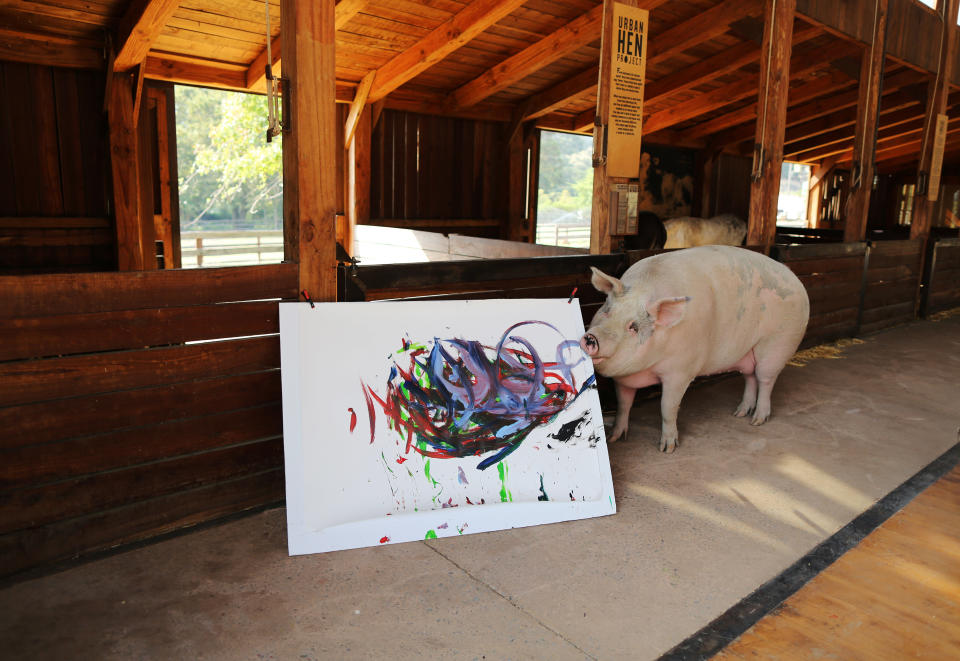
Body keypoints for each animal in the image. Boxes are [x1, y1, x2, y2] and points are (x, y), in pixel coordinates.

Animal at [576, 245, 808, 452]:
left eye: (633, 326)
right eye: (607, 310)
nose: (592, 337)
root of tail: (796, 279)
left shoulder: (682, 370)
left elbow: (667, 408)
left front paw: (667, 448)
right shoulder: (623, 379)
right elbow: (624, 404)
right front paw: (615, 438)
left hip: (778, 344)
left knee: (765, 380)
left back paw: (757, 420)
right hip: (746, 351)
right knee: (749, 377)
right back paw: (740, 413)